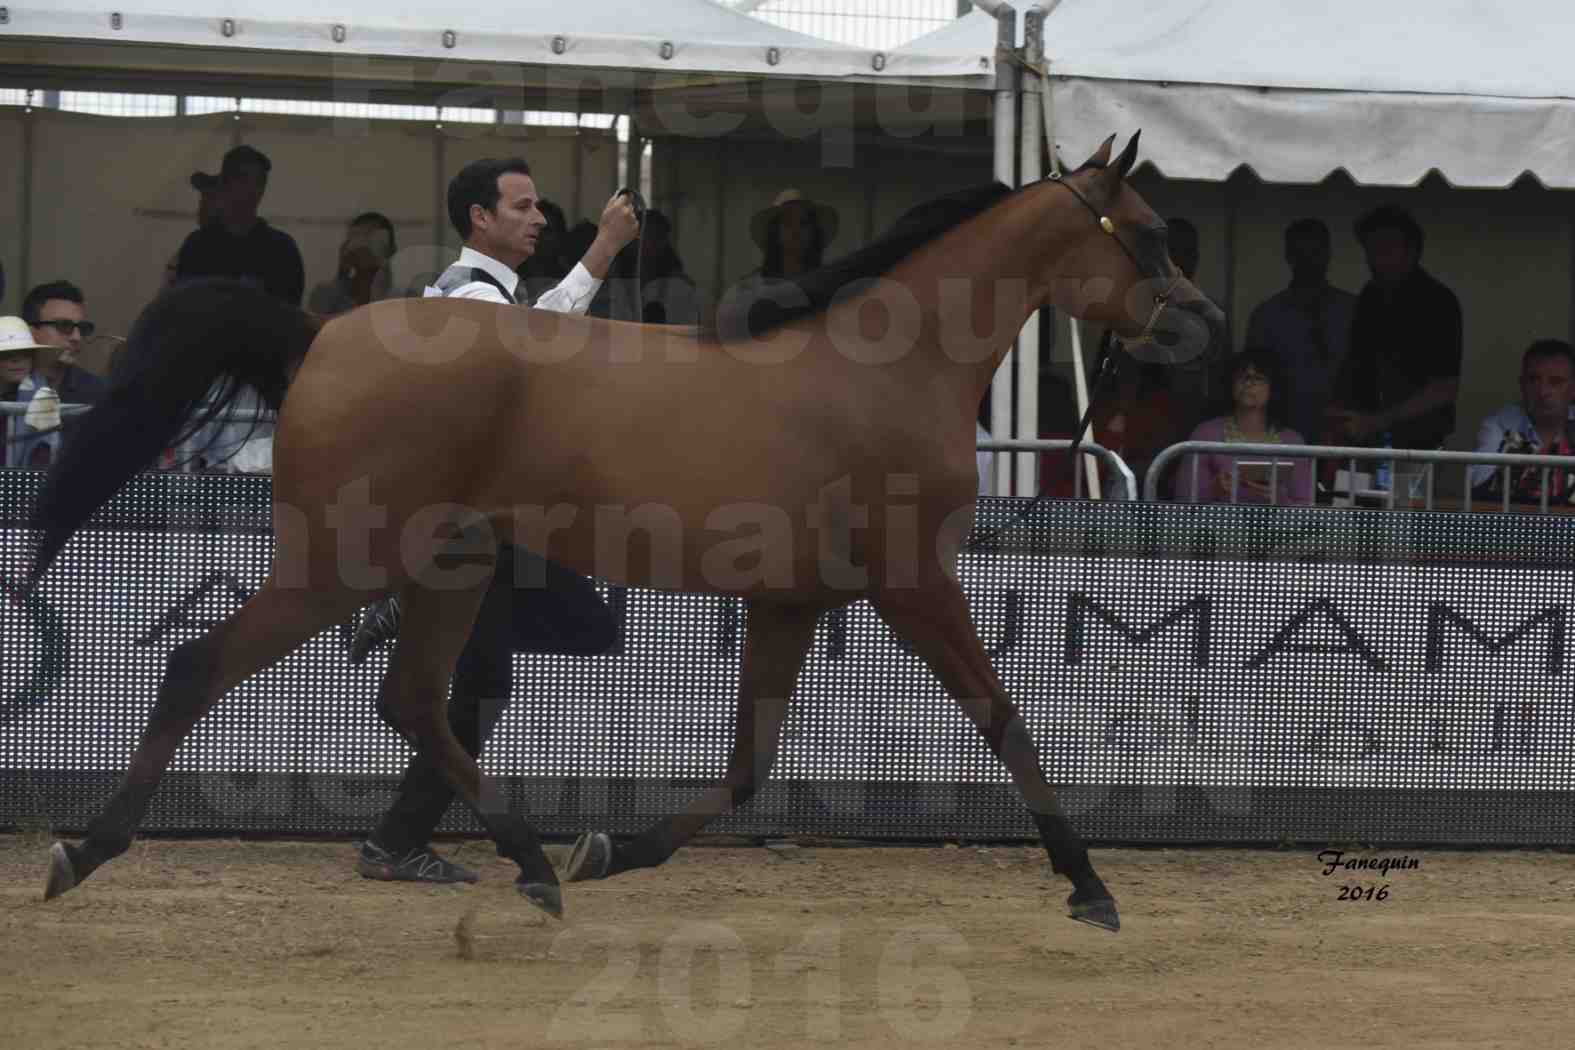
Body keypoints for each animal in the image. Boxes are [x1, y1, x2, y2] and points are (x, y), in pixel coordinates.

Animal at [27, 135, 1228, 931]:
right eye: (1149, 234)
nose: (1206, 323)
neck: (887, 370)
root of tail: (321, 334)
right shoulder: (915, 585)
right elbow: (1006, 722)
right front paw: (1092, 886)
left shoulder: (792, 600)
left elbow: (748, 765)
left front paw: (609, 850)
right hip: (339, 563)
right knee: (200, 663)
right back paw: (82, 853)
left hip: (449, 569)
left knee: (414, 701)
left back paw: (533, 866)